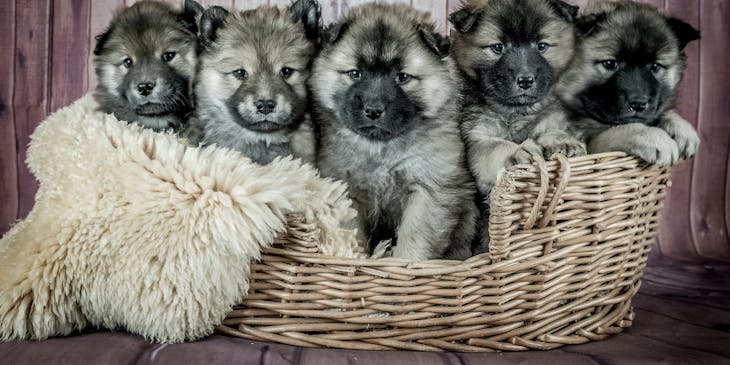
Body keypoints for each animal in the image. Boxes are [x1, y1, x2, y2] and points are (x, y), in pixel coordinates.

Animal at [556, 1, 700, 165]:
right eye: (610, 63)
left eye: (655, 66)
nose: (638, 104)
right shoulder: (592, 145)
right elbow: (619, 129)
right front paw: (654, 137)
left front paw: (682, 128)